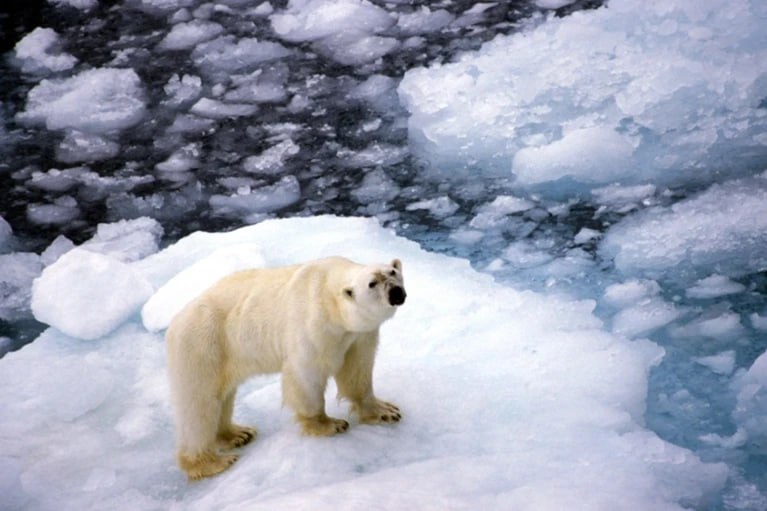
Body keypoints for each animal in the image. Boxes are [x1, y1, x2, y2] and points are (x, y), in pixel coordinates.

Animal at [166, 258, 408, 482]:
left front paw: (386, 411)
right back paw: (211, 463)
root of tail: (176, 320)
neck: (328, 293)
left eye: (392, 272)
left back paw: (238, 434)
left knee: (222, 398)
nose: (396, 292)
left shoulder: (358, 334)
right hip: (203, 345)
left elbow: (358, 369)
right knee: (200, 405)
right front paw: (328, 424)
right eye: (372, 283)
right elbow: (306, 372)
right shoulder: (314, 323)